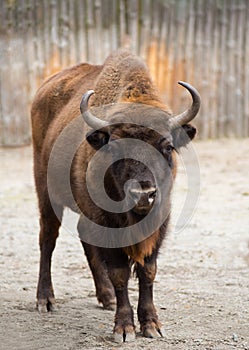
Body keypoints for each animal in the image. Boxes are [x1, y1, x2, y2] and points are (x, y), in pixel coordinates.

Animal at [31, 50, 201, 342]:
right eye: (114, 147)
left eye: (167, 146)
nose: (143, 194)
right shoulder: (107, 224)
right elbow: (120, 273)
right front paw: (124, 328)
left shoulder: (159, 223)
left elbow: (148, 271)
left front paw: (152, 325)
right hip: (45, 193)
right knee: (47, 240)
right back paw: (46, 300)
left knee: (82, 237)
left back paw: (106, 297)